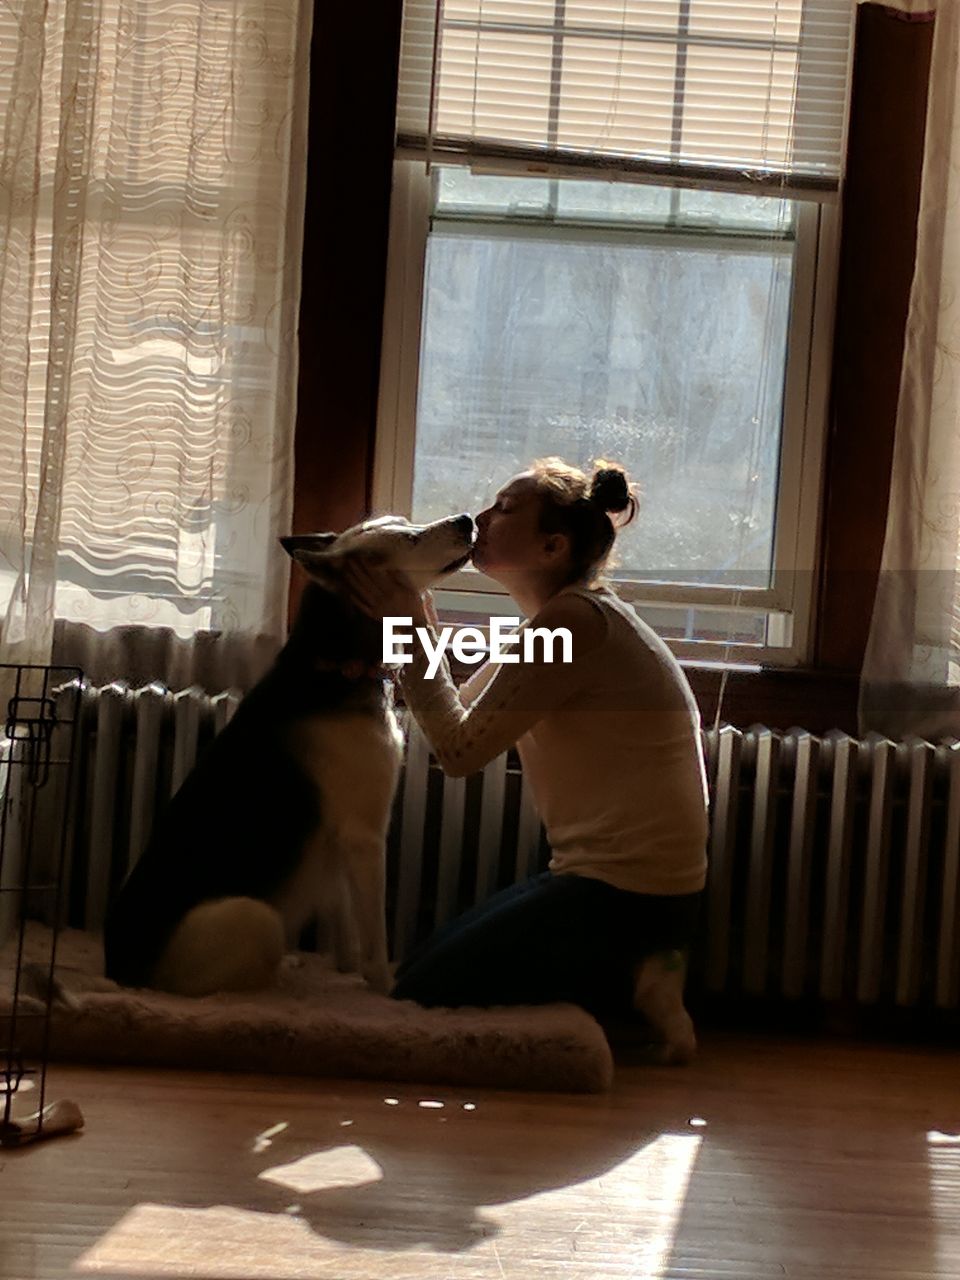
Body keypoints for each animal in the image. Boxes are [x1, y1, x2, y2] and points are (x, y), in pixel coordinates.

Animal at [103, 509, 476, 998]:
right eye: (407, 539)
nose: (467, 520)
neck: (337, 666)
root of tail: (121, 970)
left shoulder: (342, 844)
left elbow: (346, 923)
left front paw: (345, 969)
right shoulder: (365, 837)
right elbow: (373, 934)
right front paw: (384, 987)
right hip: (257, 917)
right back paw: (283, 975)